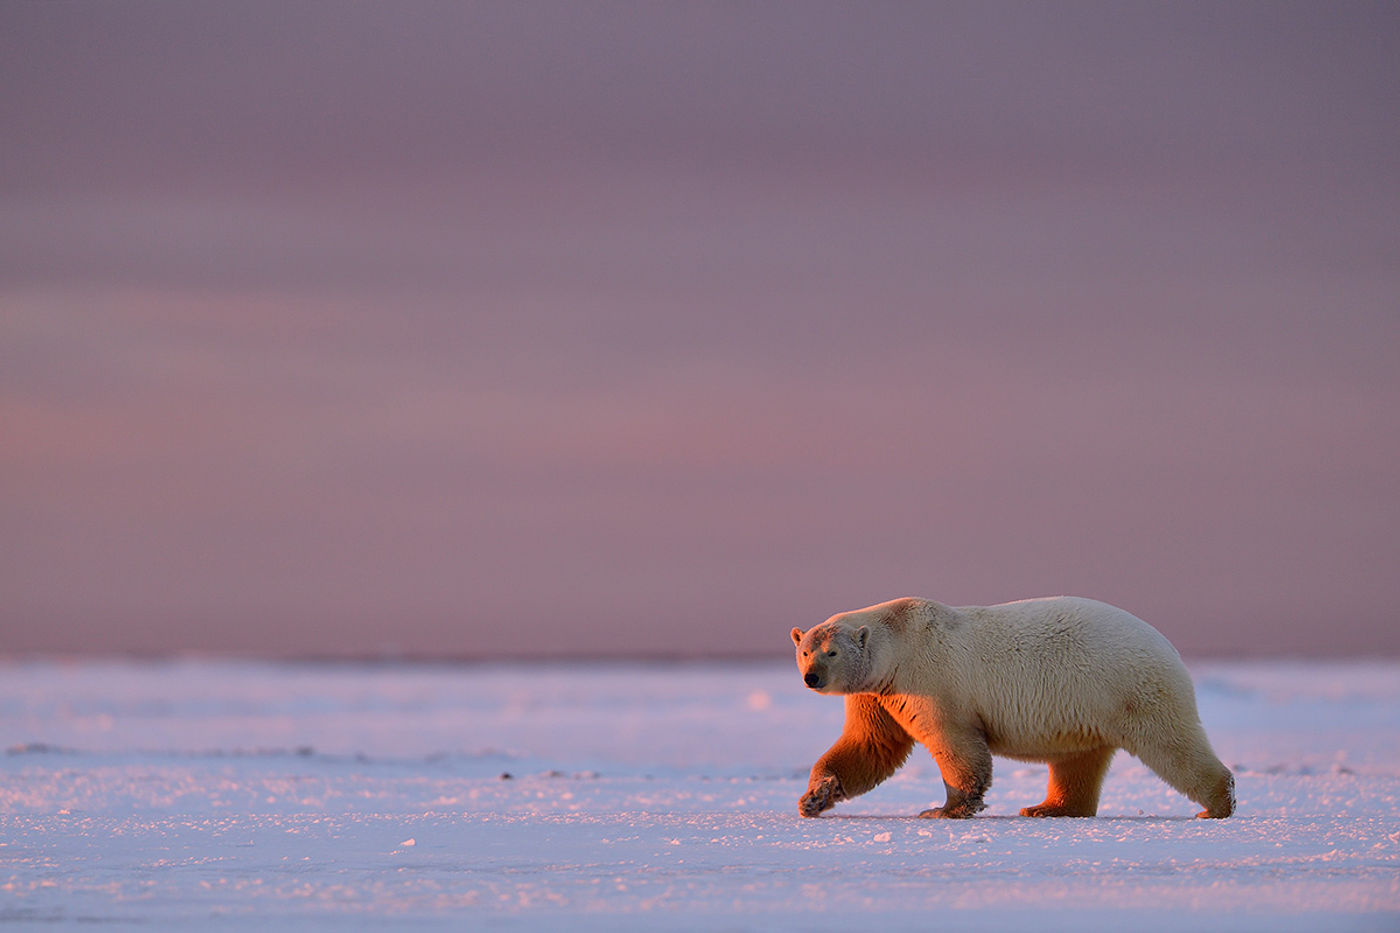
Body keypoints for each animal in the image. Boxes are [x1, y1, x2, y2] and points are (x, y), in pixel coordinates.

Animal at [795, 591, 1232, 818]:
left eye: (832, 652)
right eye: (804, 650)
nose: (811, 678)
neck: (898, 637)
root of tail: (1167, 646)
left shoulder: (929, 680)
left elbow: (953, 741)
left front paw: (946, 809)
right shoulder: (876, 694)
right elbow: (869, 746)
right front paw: (813, 797)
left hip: (1128, 686)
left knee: (1170, 744)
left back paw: (1216, 804)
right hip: (1091, 703)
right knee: (1079, 761)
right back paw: (1047, 807)